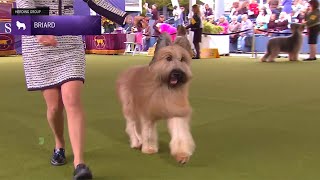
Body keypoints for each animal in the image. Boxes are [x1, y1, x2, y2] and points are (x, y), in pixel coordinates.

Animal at [116, 32, 194, 163]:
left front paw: (182, 154)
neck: (164, 87)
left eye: (182, 59)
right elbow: (148, 133)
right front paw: (149, 149)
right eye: (168, 58)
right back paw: (136, 142)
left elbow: (180, 133)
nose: (177, 73)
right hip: (130, 107)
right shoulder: (147, 114)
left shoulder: (176, 111)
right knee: (131, 126)